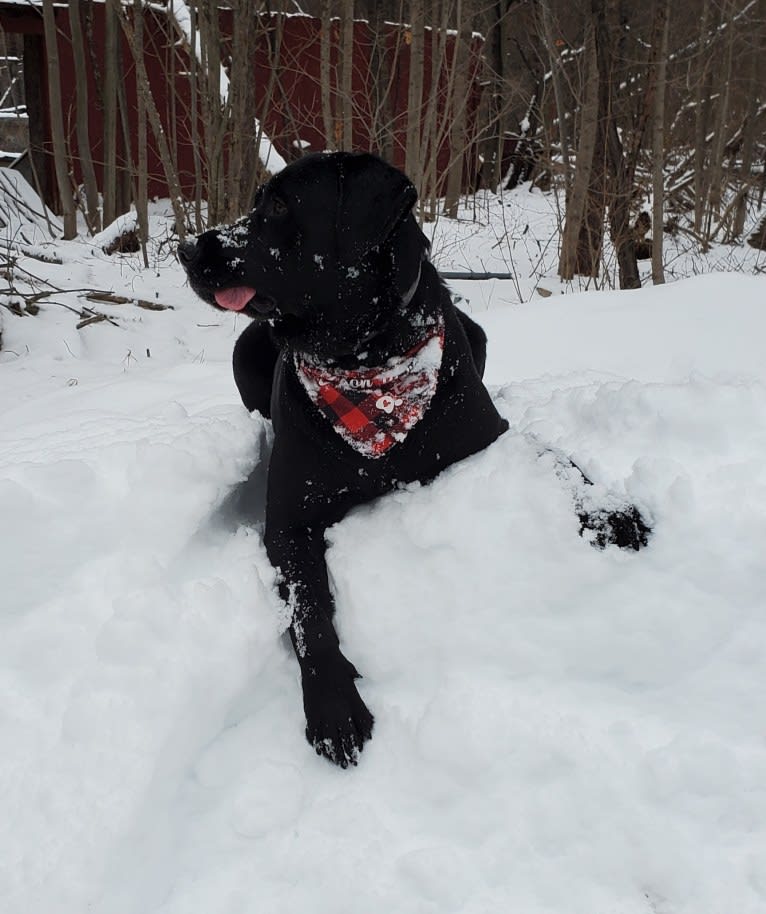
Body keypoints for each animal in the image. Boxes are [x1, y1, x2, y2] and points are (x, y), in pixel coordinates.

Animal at [182, 153, 510, 764]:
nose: (187, 248)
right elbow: (310, 613)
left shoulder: (489, 436)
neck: (366, 359)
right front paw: (334, 704)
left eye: (279, 205)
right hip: (245, 347)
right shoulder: (288, 522)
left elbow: (561, 462)